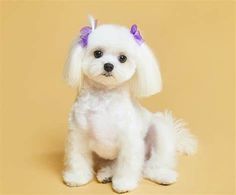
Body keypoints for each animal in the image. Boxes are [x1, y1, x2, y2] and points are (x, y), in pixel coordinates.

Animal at [61, 17, 196, 193]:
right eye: (98, 53)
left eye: (122, 58)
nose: (108, 65)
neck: (104, 97)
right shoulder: (78, 135)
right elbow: (78, 158)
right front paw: (77, 177)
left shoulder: (129, 141)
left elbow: (127, 165)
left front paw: (123, 183)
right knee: (114, 164)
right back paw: (106, 174)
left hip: (159, 133)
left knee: (149, 166)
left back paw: (162, 176)